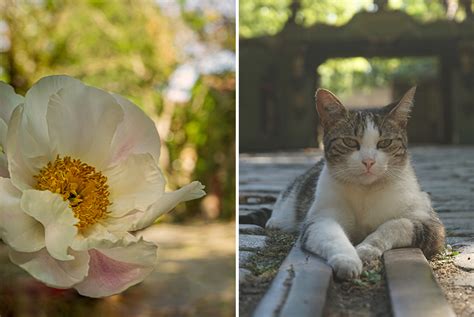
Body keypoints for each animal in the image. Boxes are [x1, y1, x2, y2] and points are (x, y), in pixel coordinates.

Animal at [266, 87, 444, 278]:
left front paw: (367, 247)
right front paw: (347, 260)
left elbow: (396, 224)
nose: (368, 161)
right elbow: (331, 235)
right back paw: (275, 222)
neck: (365, 191)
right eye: (349, 142)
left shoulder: (431, 223)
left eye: (385, 142)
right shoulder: (320, 217)